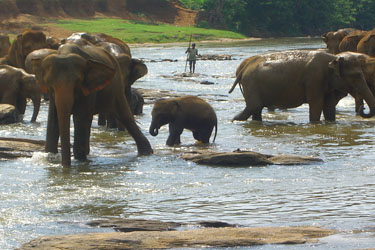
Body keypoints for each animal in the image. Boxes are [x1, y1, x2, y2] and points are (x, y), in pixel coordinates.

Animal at [228, 49, 375, 122]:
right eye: (356, 76)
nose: (362, 108)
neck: (333, 58)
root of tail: (244, 68)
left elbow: (329, 107)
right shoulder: (314, 79)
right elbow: (316, 104)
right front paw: (315, 124)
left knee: (255, 109)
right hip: (251, 83)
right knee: (254, 106)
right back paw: (234, 120)